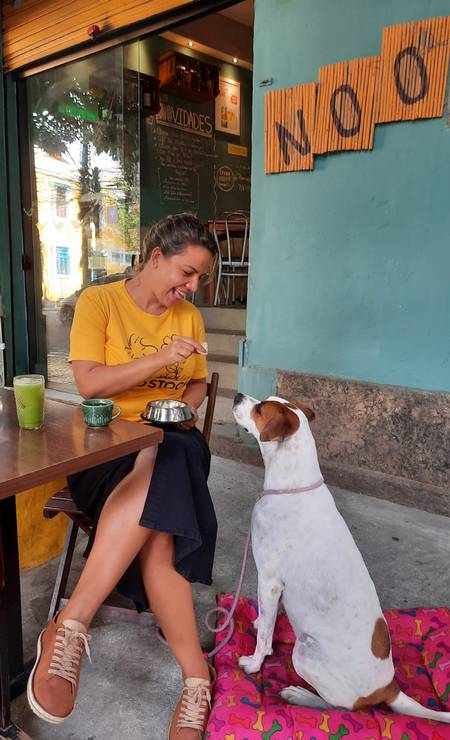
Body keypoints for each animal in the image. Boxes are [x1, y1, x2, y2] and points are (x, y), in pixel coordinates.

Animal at [232, 394, 450, 724]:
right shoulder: (276, 586)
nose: (237, 396)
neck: (291, 485)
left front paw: (255, 663)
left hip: (304, 652)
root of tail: (389, 688)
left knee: (340, 708)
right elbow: (270, 617)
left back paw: (300, 695)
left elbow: (266, 636)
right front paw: (258, 622)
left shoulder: (268, 580)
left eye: (259, 409)